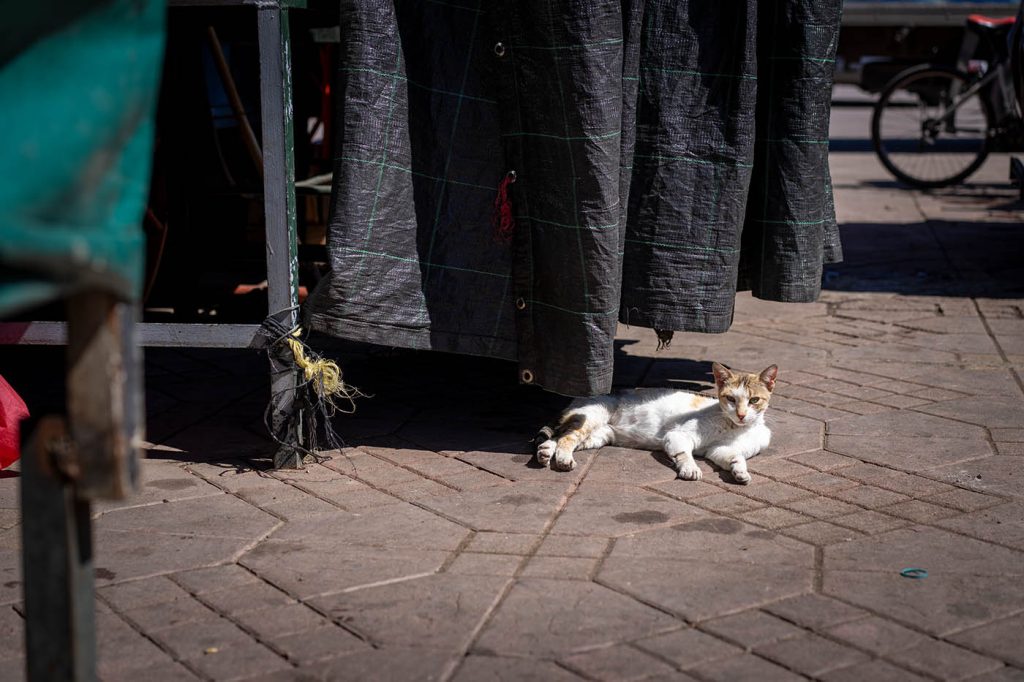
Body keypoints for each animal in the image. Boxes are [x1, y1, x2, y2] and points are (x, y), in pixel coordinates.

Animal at [536, 360, 774, 483]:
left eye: (754, 400)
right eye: (731, 399)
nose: (741, 415)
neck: (735, 428)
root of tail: (578, 397)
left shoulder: (718, 450)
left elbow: (736, 457)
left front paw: (740, 473)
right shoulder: (677, 435)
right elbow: (684, 454)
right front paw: (690, 469)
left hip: (598, 435)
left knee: (561, 436)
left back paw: (545, 452)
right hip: (592, 418)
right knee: (566, 439)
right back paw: (563, 459)